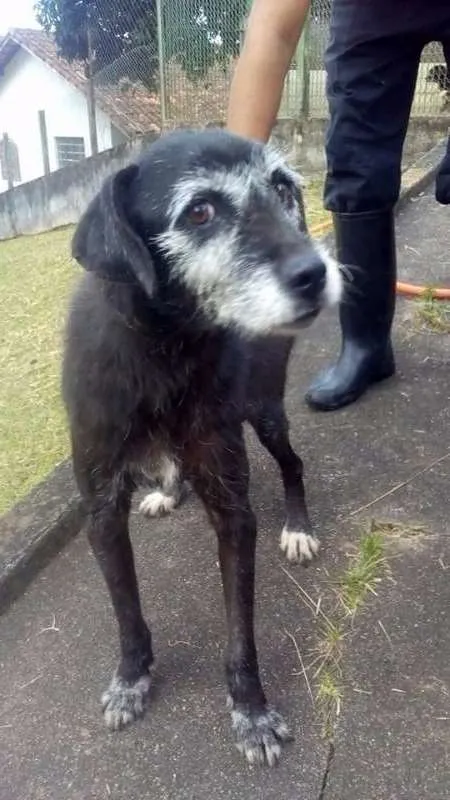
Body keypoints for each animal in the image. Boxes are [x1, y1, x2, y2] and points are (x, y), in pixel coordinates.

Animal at [63, 128, 342, 764]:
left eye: (283, 187)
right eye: (199, 211)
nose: (316, 272)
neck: (163, 352)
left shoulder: (234, 512)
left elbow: (240, 634)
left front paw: (252, 712)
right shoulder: (101, 510)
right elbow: (127, 612)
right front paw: (132, 678)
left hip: (264, 415)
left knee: (294, 463)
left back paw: (298, 526)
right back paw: (168, 490)